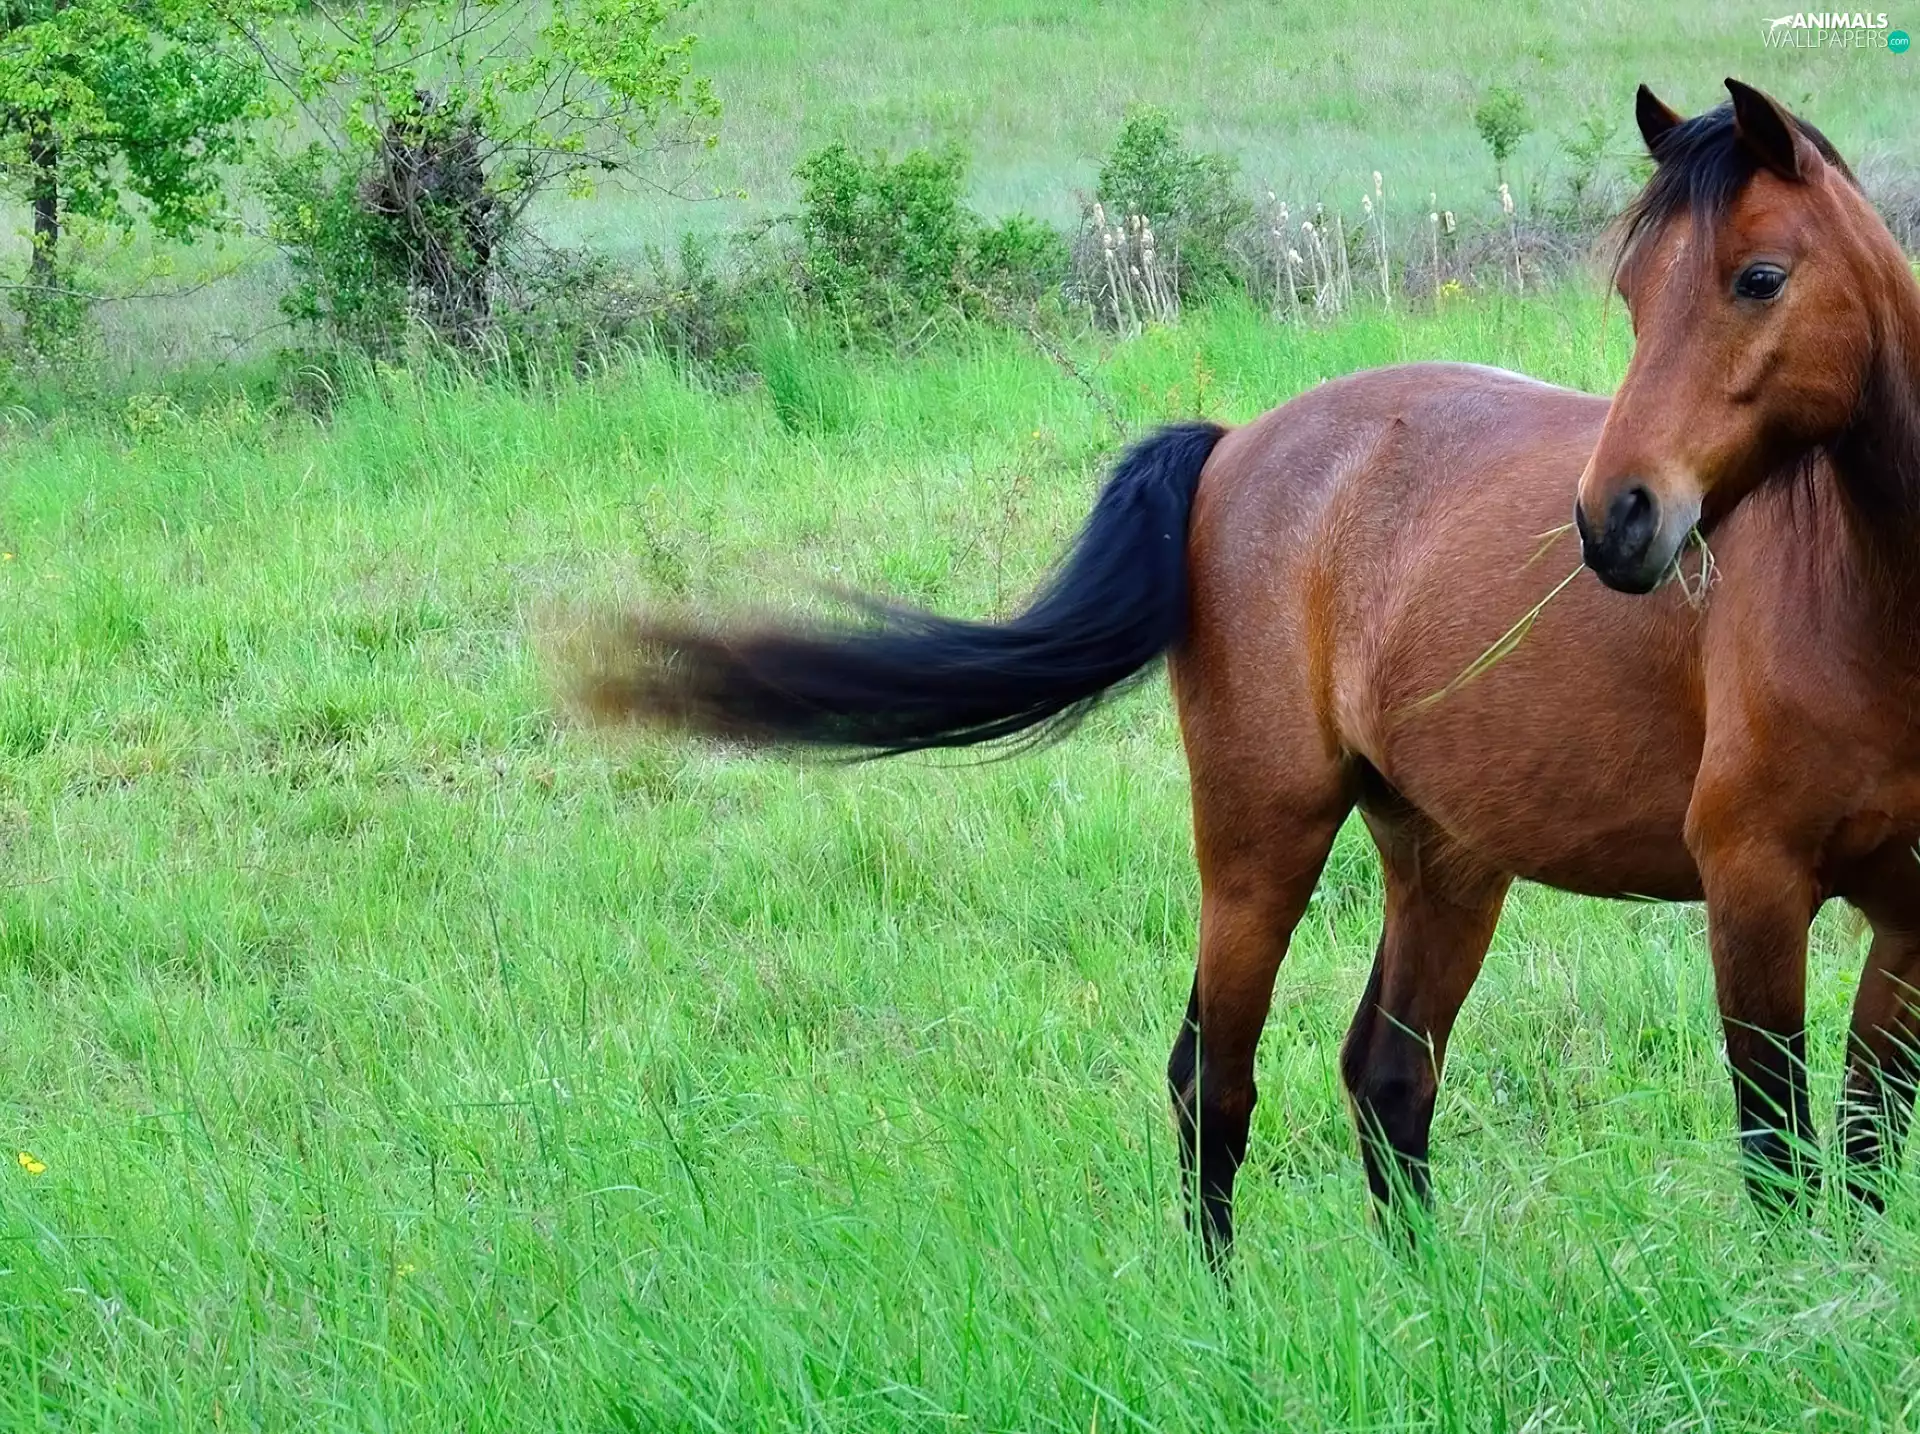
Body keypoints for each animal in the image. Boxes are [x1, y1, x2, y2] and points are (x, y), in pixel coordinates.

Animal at [578, 80, 1920, 1260]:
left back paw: (1428, 1306)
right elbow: (1781, 1156)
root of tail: (1235, 448)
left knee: (1388, 1075)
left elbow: (1866, 1141)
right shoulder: (1749, 889)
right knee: (1212, 1078)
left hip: (1443, 857)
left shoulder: (1903, 920)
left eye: (1759, 278)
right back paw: (1222, 1313)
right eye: (1635, 295)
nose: (1616, 521)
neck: (1865, 601)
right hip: (1260, 836)